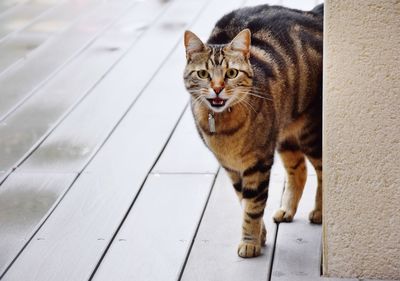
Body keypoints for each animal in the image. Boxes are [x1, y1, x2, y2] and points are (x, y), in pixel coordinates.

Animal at [183, 3, 324, 258]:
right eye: (203, 74)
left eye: (231, 73)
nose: (217, 89)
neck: (225, 131)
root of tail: (312, 13)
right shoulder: (231, 167)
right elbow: (244, 200)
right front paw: (260, 235)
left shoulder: (258, 162)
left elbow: (253, 206)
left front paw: (250, 242)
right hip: (284, 134)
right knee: (298, 169)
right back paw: (287, 210)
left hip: (311, 132)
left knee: (322, 171)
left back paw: (319, 212)